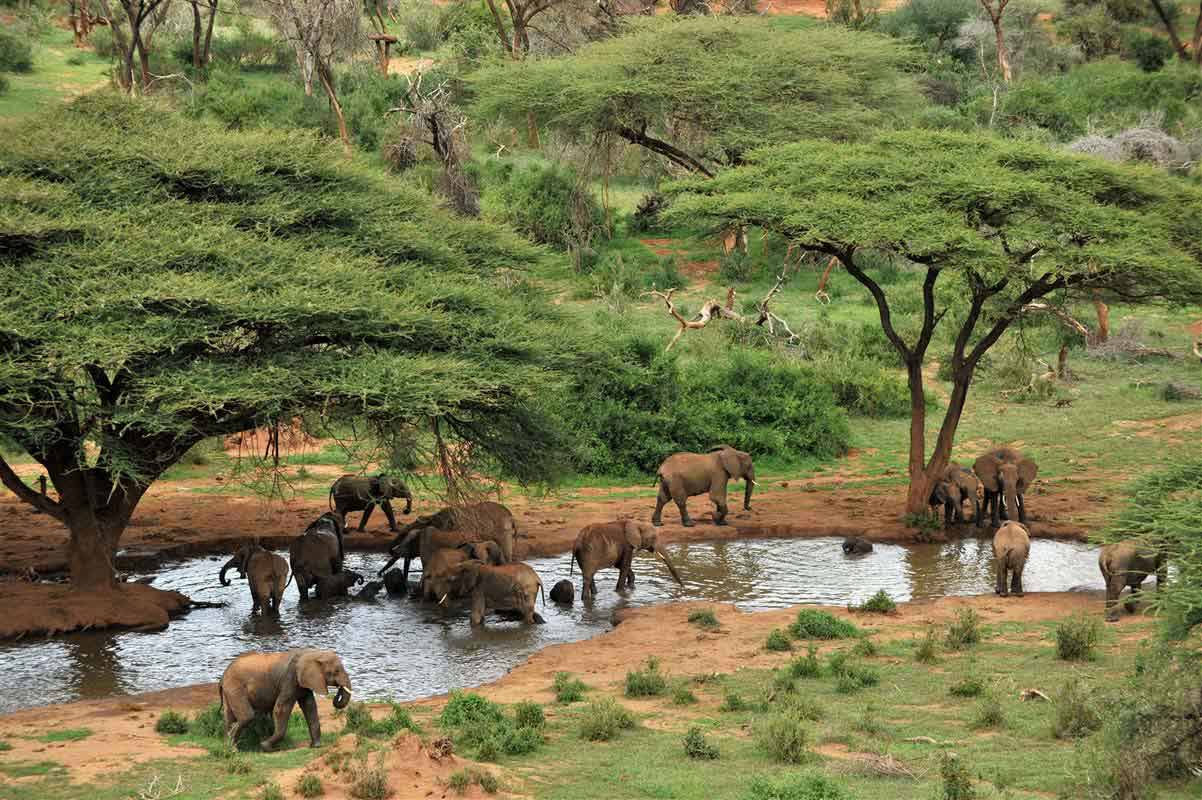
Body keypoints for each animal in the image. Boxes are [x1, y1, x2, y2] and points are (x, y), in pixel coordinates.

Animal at [218, 643, 350, 749]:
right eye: (336, 671)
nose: (338, 692)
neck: (313, 653)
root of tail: (223, 676)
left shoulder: (303, 681)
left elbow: (310, 707)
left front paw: (316, 746)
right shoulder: (290, 678)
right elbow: (281, 709)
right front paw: (265, 746)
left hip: (229, 690)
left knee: (228, 716)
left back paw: (228, 747)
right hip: (235, 687)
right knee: (247, 716)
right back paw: (233, 748)